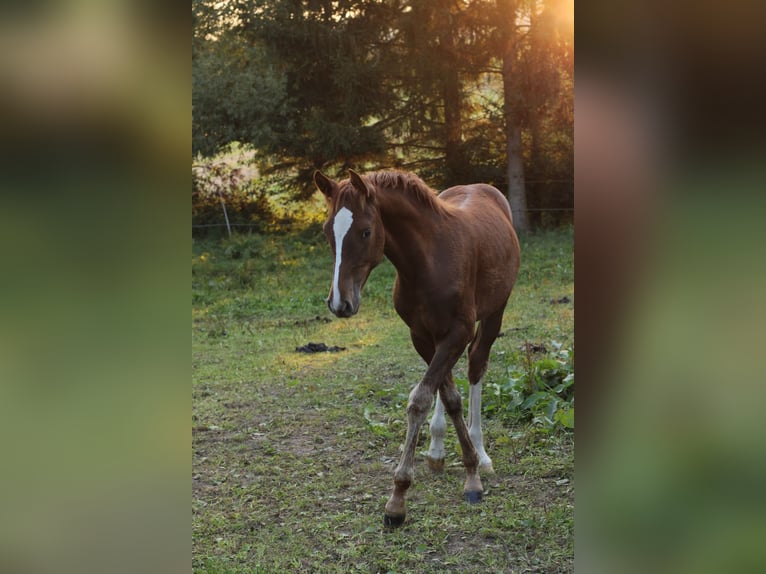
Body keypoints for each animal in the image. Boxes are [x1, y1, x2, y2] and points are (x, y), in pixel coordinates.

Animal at [312, 169, 520, 528]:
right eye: (328, 231)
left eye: (366, 231)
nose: (340, 303)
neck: (429, 261)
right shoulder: (420, 335)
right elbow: (447, 396)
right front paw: (452, 462)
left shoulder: (459, 332)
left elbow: (421, 398)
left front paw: (404, 495)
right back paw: (437, 450)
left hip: (495, 312)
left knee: (476, 367)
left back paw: (482, 452)